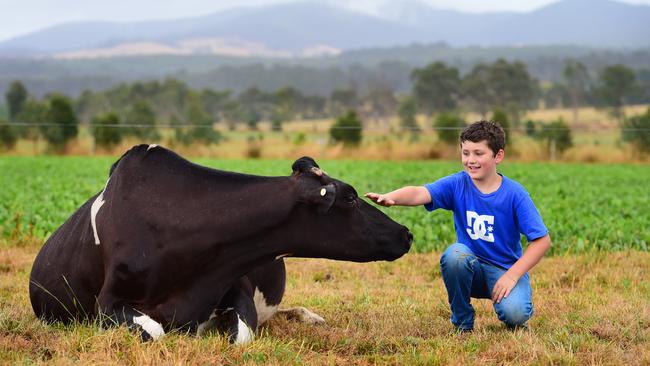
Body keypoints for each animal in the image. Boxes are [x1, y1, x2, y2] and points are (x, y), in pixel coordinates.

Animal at [29, 145, 410, 344]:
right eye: (350, 197)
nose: (406, 232)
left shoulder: (236, 285)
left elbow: (241, 335)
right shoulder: (106, 304)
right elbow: (155, 331)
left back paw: (309, 316)